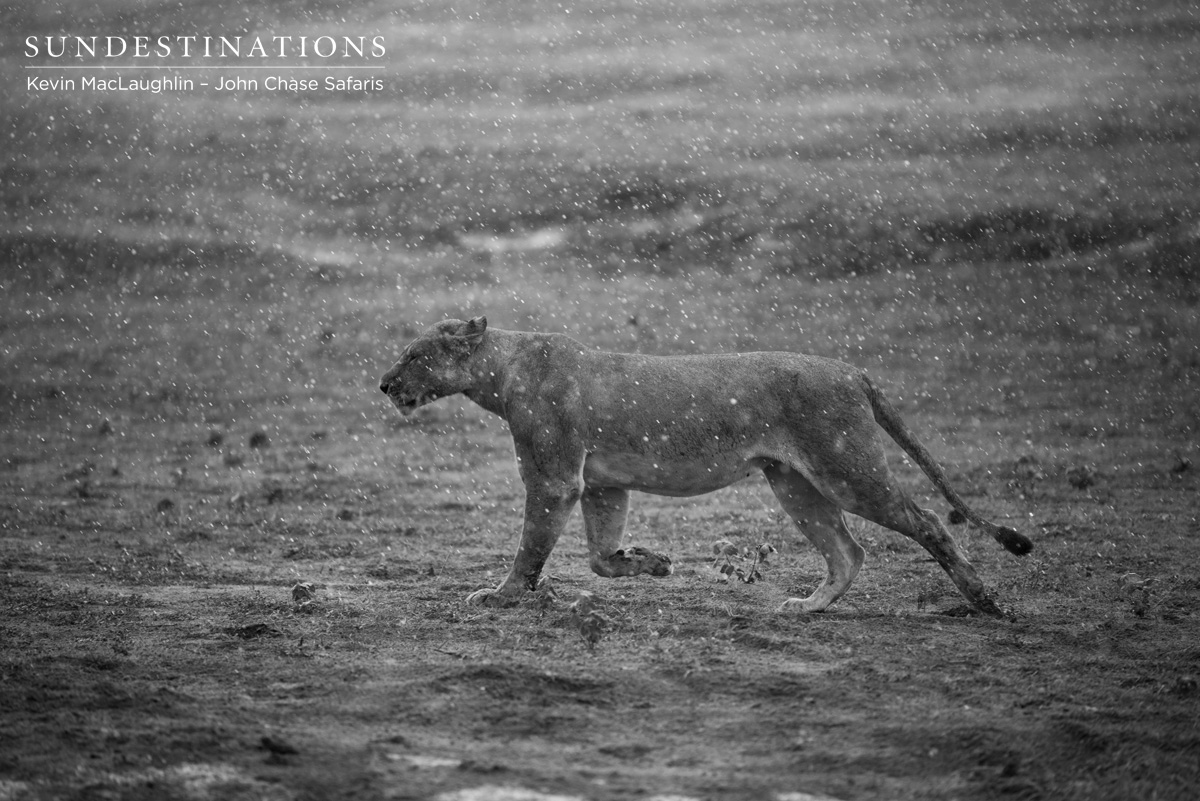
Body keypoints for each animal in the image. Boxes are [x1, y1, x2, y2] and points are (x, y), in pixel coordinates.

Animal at [379, 317, 1032, 616]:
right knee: (848, 551)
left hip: (847, 470)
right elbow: (598, 556)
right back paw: (808, 607)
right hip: (794, 484)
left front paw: (501, 595)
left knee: (929, 523)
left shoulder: (555, 477)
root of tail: (852, 370)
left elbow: (531, 546)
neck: (504, 370)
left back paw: (983, 601)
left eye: (414, 355)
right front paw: (652, 562)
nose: (384, 384)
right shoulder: (602, 486)